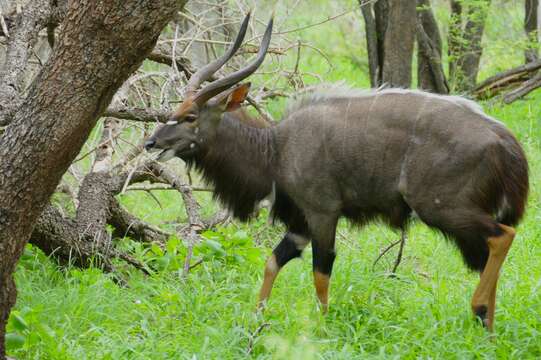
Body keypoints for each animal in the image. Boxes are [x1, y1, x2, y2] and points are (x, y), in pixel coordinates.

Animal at [144, 14, 528, 330]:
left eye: (190, 116)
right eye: (176, 109)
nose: (150, 142)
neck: (276, 149)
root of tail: (506, 142)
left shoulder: (322, 213)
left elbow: (321, 271)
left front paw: (322, 329)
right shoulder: (299, 224)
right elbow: (273, 262)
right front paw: (256, 321)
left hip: (442, 209)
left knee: (502, 236)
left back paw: (477, 309)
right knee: (489, 255)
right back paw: (486, 329)